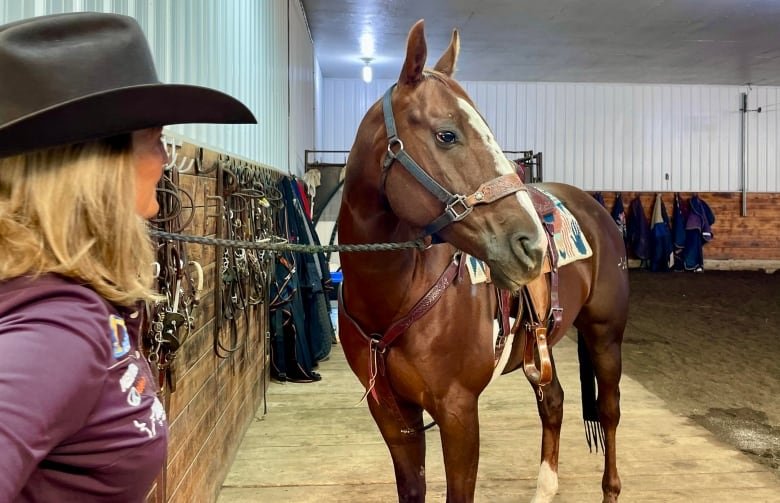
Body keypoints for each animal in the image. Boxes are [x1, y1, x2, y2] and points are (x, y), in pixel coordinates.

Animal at [336, 19, 628, 503]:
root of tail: (597, 209)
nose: (532, 246)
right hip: (541, 347)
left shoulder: (457, 411)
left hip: (605, 336)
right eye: (447, 134)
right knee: (553, 402)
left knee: (609, 412)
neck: (395, 295)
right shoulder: (394, 417)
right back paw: (545, 488)